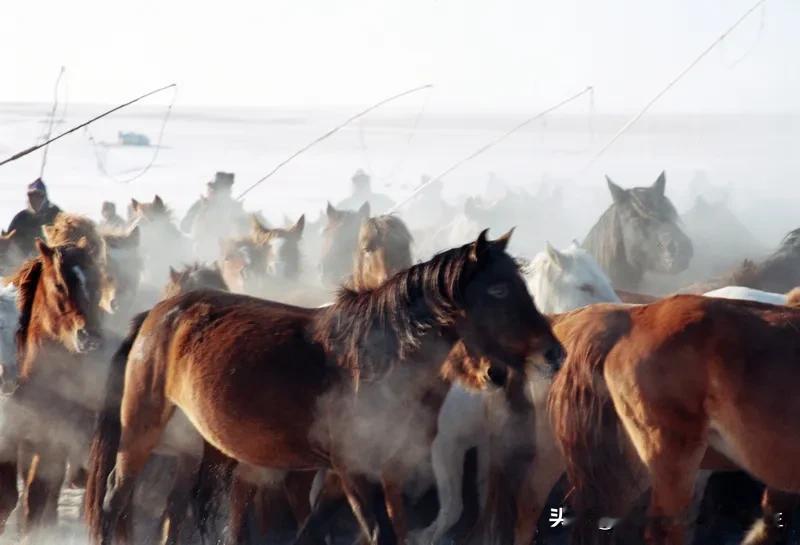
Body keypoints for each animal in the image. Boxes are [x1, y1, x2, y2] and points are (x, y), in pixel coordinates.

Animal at [86, 230, 564, 544]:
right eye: (499, 290)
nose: (554, 353)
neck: (377, 363)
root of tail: (157, 314)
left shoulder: (367, 472)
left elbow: (320, 529)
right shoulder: (354, 470)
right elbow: (375, 532)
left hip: (203, 447)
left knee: (192, 509)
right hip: (141, 429)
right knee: (116, 498)